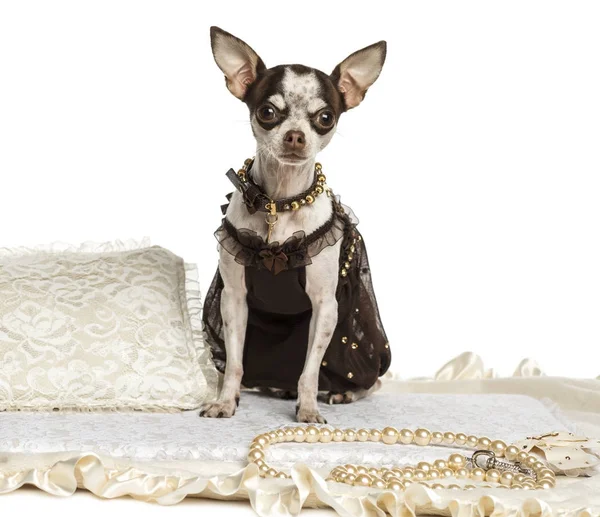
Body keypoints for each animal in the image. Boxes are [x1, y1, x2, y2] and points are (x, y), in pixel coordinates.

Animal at [202, 26, 390, 422]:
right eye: (267, 112)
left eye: (325, 118)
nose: (295, 135)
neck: (281, 203)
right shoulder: (233, 300)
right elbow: (235, 363)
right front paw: (226, 401)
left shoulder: (325, 307)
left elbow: (309, 371)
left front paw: (308, 409)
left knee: (371, 380)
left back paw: (342, 393)